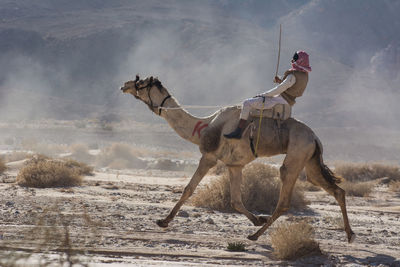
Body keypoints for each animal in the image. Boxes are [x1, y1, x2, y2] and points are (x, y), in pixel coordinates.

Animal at [119, 75, 356, 243]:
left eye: (140, 83)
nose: (125, 85)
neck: (205, 126)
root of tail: (315, 138)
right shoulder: (235, 165)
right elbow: (235, 200)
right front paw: (256, 219)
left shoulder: (209, 157)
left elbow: (189, 188)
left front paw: (163, 221)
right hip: (311, 159)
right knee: (335, 189)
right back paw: (350, 235)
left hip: (297, 153)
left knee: (285, 197)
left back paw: (255, 236)